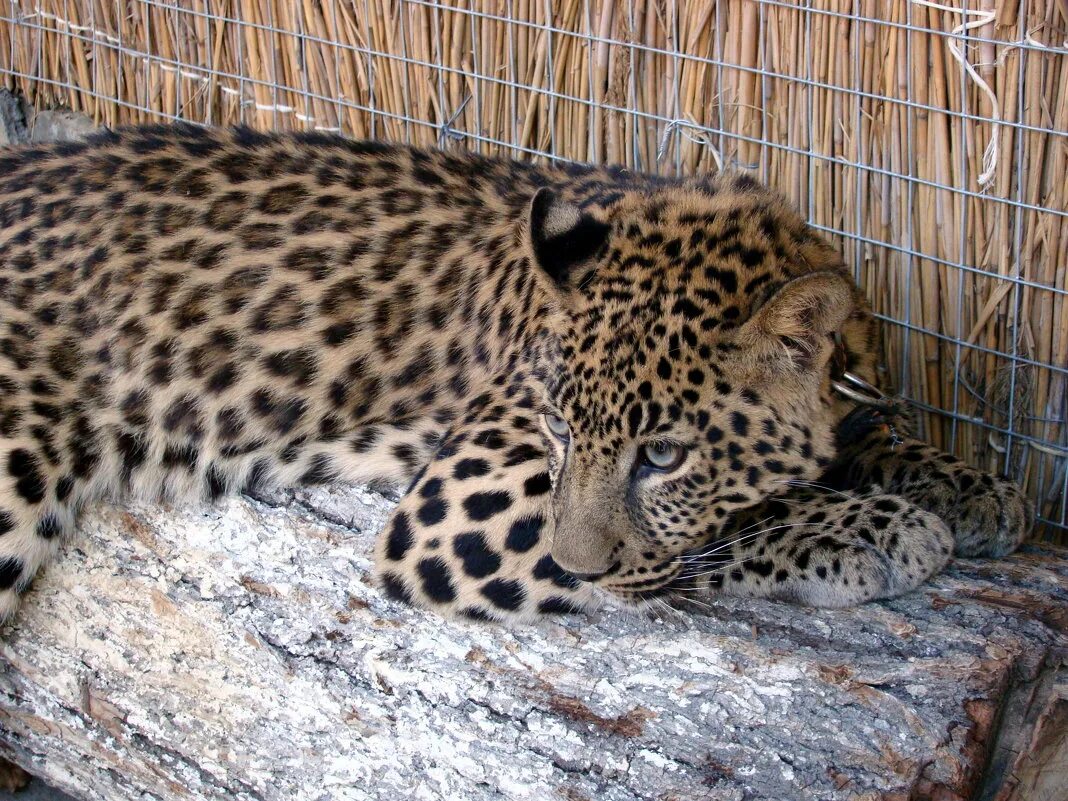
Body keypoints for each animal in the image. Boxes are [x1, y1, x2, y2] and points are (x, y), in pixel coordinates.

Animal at [0, 125, 1029, 627]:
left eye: (664, 455)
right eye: (561, 428)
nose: (576, 562)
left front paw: (971, 485)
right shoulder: (459, 511)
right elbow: (717, 532)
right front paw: (874, 527)